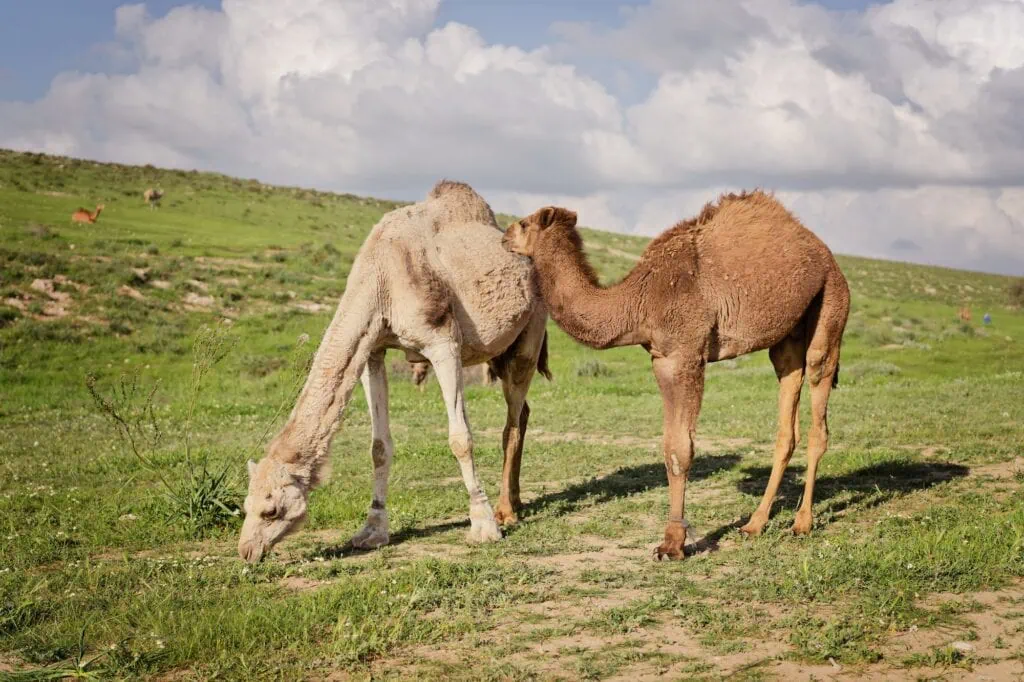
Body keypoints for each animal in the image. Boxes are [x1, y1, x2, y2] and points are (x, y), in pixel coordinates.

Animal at [238, 180, 552, 563]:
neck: (380, 279)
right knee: (522, 411)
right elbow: (379, 446)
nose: (246, 550)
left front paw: (483, 525)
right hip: (497, 352)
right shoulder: (373, 347)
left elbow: (460, 438)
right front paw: (372, 531)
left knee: (512, 421)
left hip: (530, 334)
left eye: (271, 510)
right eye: (244, 506)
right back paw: (517, 502)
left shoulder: (444, 343)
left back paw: (506, 511)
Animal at [503, 191, 850, 560]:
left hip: (831, 300)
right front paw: (673, 539)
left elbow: (680, 448)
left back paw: (802, 523)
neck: (637, 300)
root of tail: (825, 253)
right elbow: (669, 445)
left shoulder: (684, 354)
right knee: (787, 409)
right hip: (787, 336)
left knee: (819, 398)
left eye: (524, 223)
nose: (503, 236)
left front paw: (672, 544)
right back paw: (754, 524)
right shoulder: (661, 357)